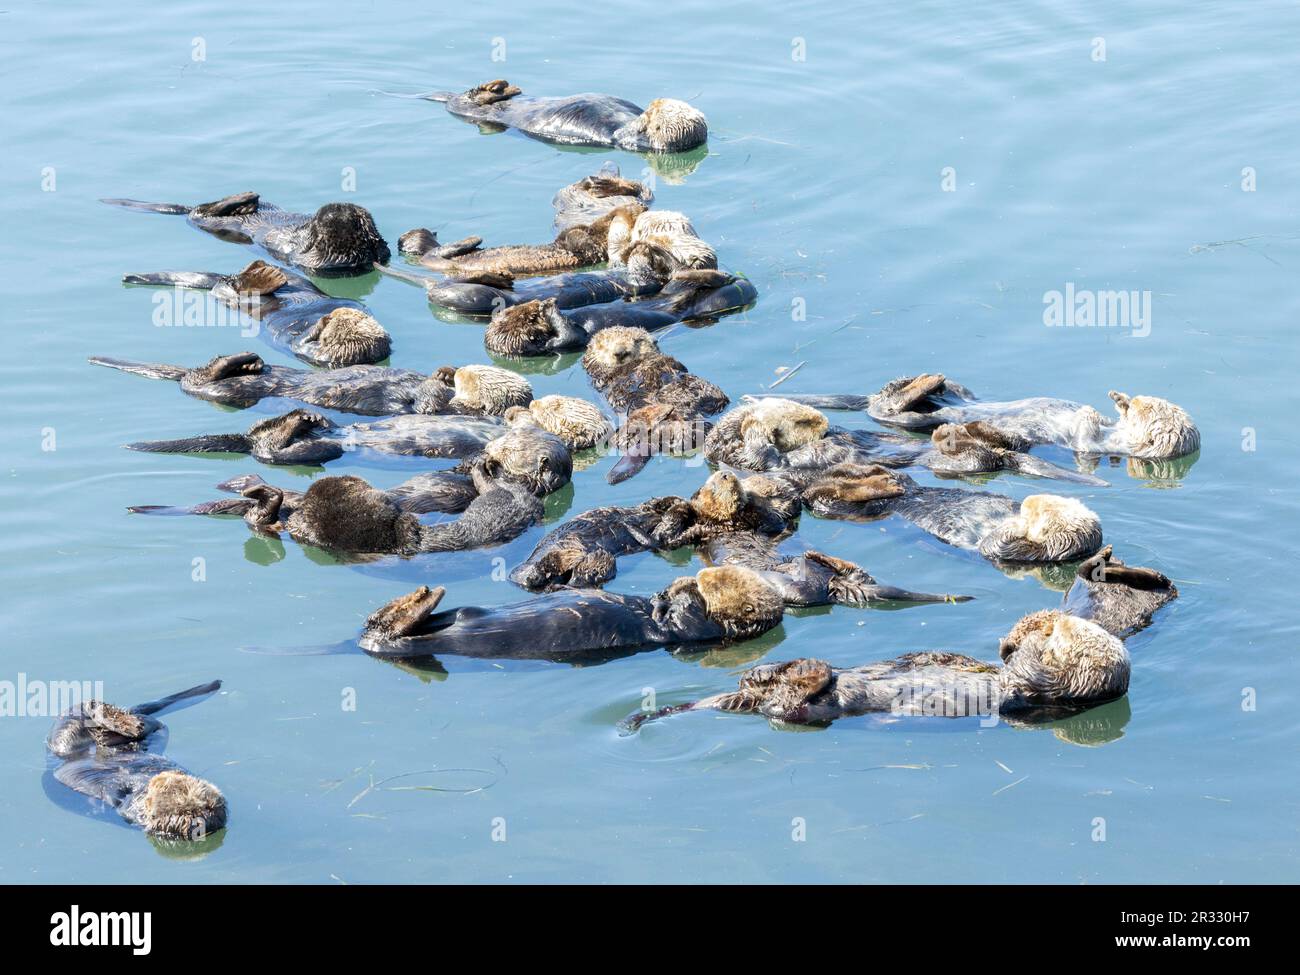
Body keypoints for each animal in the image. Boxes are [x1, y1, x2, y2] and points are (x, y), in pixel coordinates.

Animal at [101, 191, 389, 276]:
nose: (340, 204)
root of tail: (187, 211)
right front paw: (379, 241)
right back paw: (249, 201)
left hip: (204, 219)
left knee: (206, 209)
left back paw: (246, 198)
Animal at [121, 260, 391, 367]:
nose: (337, 311)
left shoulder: (317, 352)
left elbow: (302, 343)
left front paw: (323, 322)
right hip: (298, 279)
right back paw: (262, 267)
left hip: (233, 296)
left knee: (235, 287)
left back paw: (263, 276)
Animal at [425, 79, 708, 153]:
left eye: (656, 112)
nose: (654, 102)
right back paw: (507, 87)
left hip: (472, 108)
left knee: (471, 102)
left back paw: (493, 89)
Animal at [484, 270, 757, 357]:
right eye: (528, 316)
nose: (537, 304)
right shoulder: (560, 344)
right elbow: (570, 335)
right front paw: (550, 307)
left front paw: (549, 304)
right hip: (694, 303)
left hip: (672, 289)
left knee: (680, 281)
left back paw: (724, 275)